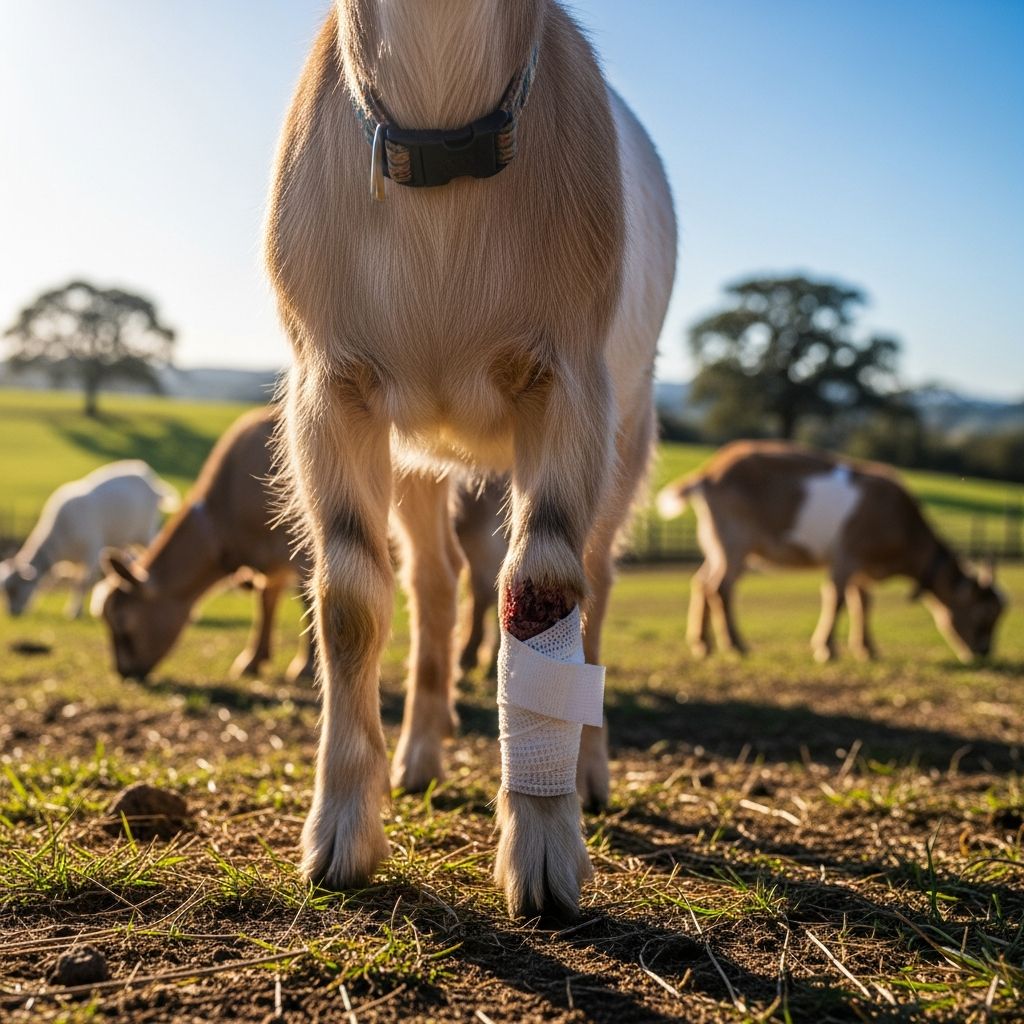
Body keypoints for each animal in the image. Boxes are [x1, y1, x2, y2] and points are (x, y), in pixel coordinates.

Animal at [1, 461, 178, 619]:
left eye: (16, 588)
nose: (13, 613)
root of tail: (150, 479)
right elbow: (61, 581)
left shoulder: (92, 551)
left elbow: (82, 583)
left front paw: (74, 612)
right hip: (123, 540)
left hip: (145, 532)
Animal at [265, 1, 676, 917]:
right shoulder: (330, 387)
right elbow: (350, 597)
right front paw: (339, 837)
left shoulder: (570, 382)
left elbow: (542, 587)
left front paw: (545, 851)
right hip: (418, 457)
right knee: (434, 580)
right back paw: (419, 757)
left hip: (630, 429)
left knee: (595, 583)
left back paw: (588, 771)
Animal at [657, 441, 1006, 663]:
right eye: (983, 614)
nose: (983, 652)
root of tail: (709, 473)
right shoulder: (847, 555)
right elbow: (837, 598)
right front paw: (827, 649)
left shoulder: (861, 565)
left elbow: (862, 602)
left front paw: (867, 650)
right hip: (735, 538)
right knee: (720, 587)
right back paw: (736, 645)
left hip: (717, 540)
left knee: (702, 581)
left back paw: (702, 644)